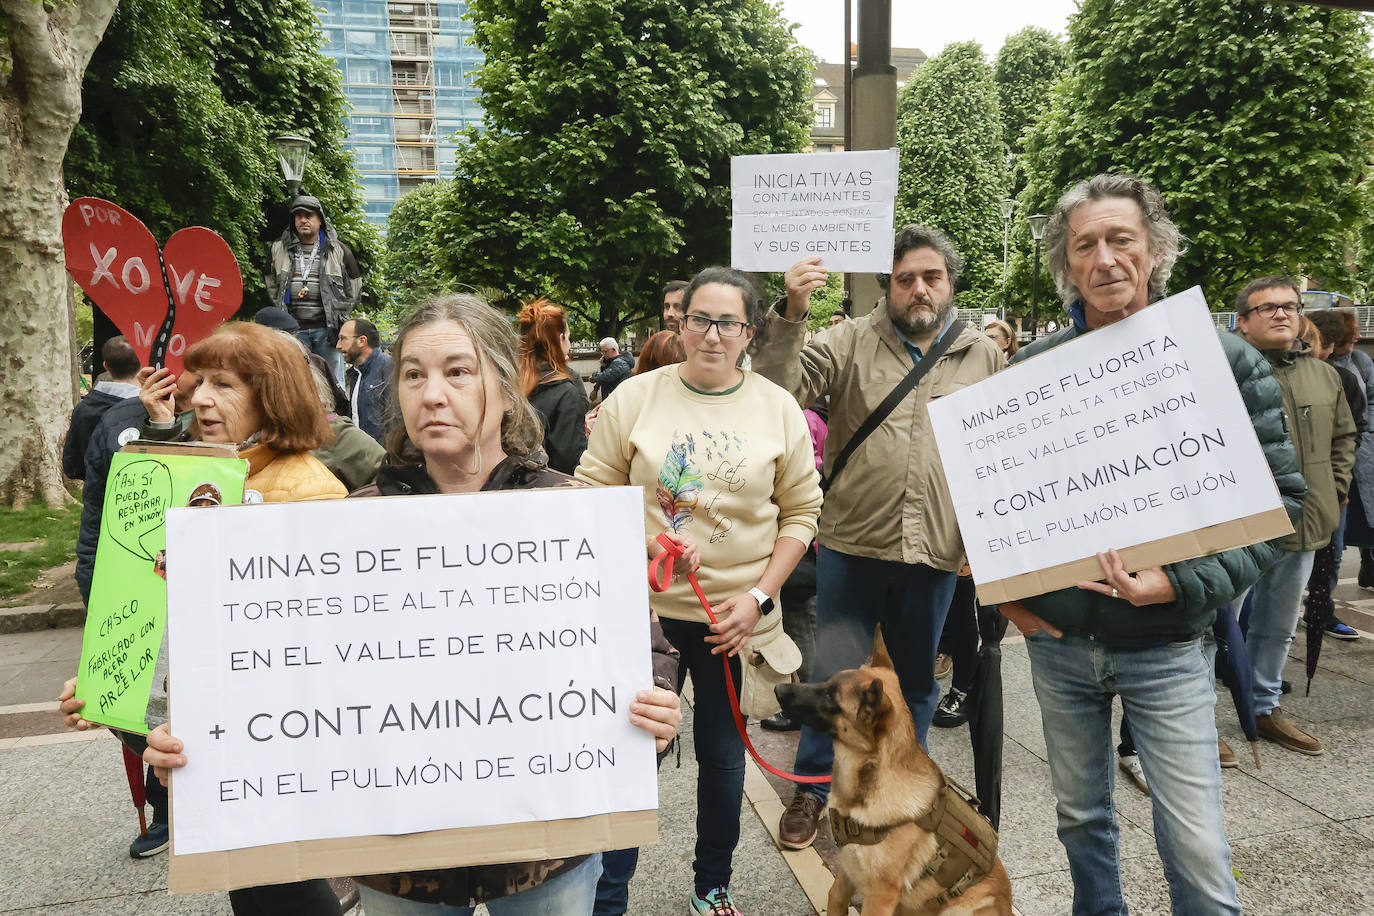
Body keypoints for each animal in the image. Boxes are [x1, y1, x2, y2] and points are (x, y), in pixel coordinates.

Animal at [780, 631, 1016, 916]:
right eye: (825, 683)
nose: (779, 689)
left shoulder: (880, 896)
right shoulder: (849, 870)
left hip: (959, 909)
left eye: (830, 698)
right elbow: (835, 897)